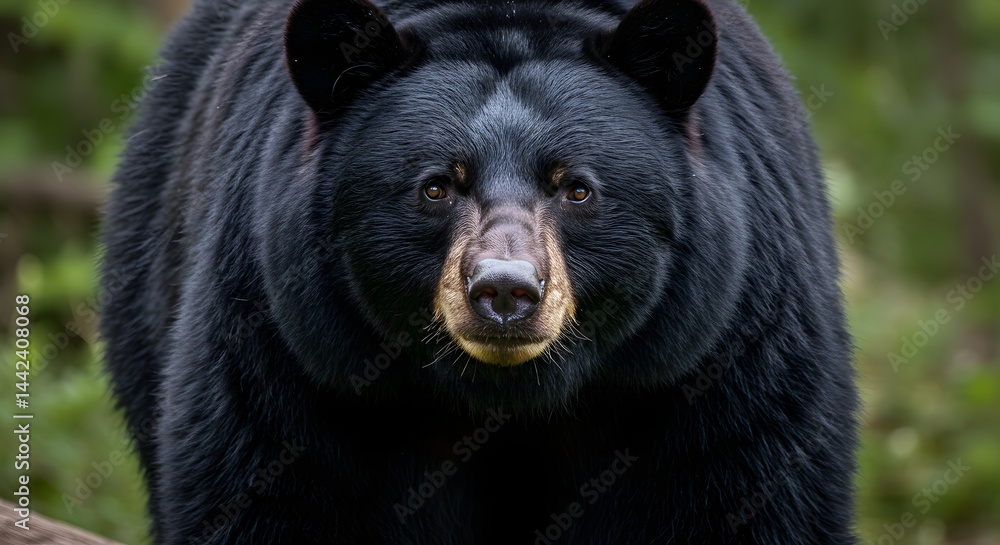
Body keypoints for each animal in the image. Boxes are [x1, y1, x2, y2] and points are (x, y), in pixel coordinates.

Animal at [100, 0, 859, 543]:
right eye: (437, 186)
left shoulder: (724, 352)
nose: (504, 291)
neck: (504, 398)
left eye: (576, 188)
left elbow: (743, 492)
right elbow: (265, 489)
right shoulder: (290, 349)